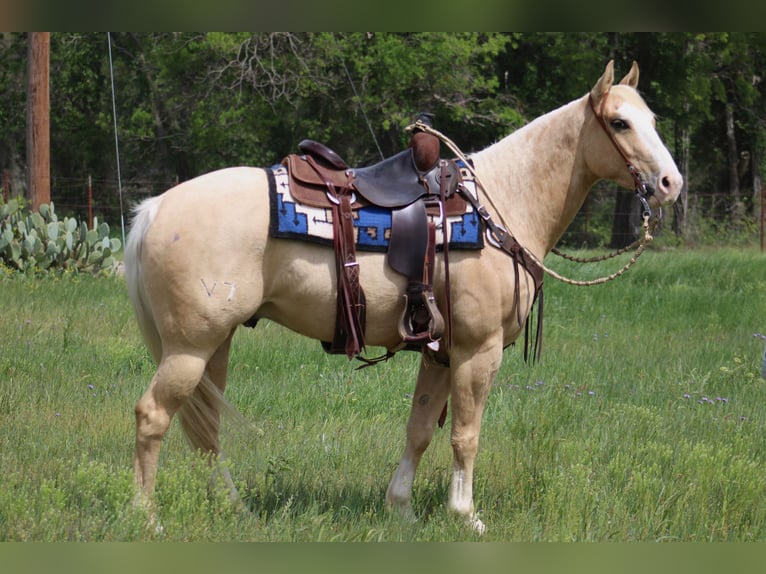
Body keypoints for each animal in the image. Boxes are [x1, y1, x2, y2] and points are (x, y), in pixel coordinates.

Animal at [124, 60, 684, 532]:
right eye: (619, 123)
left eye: (653, 118)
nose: (669, 183)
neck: (501, 205)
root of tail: (156, 208)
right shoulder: (477, 352)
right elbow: (465, 435)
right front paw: (465, 515)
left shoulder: (440, 352)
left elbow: (419, 429)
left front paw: (401, 509)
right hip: (190, 348)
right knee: (153, 417)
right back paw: (148, 519)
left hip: (214, 345)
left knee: (205, 428)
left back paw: (233, 508)